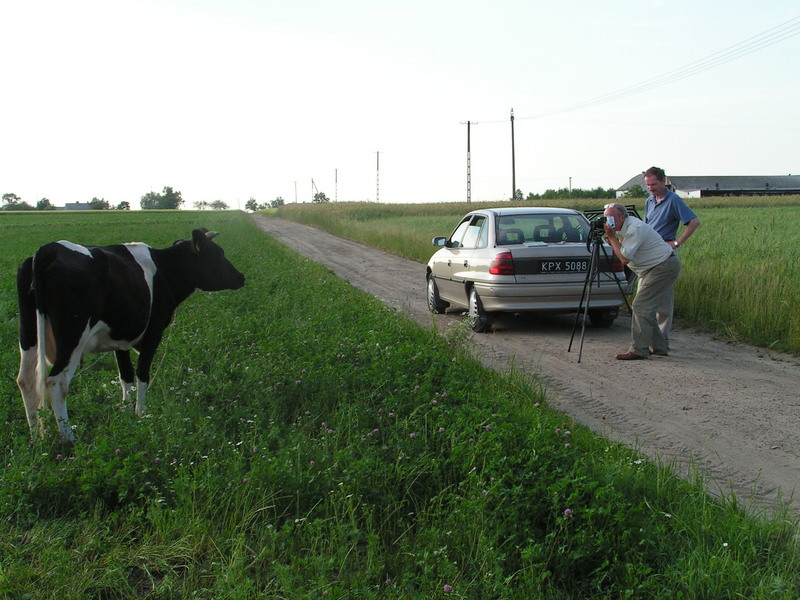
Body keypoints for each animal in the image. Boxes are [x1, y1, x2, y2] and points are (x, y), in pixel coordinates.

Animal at [16, 227, 244, 442]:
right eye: (217, 253)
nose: (241, 277)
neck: (164, 271)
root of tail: (50, 249)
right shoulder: (153, 331)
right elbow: (142, 373)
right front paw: (141, 413)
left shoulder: (120, 338)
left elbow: (125, 375)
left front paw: (126, 413)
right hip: (72, 337)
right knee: (56, 382)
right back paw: (69, 439)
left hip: (28, 333)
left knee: (26, 380)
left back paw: (36, 437)